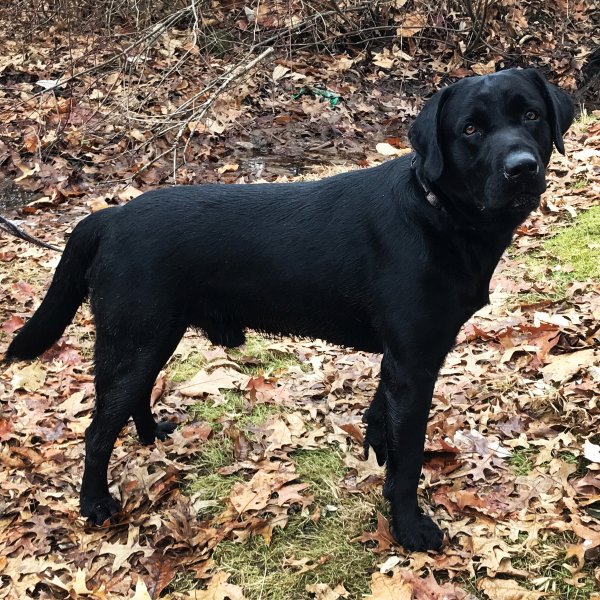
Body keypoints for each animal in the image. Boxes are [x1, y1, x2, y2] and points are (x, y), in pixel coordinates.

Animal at [8, 68, 572, 552]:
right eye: (470, 129)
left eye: (531, 115)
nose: (522, 168)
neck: (435, 213)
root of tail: (109, 216)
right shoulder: (415, 363)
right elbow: (409, 459)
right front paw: (410, 528)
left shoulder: (399, 362)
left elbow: (381, 423)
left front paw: (378, 461)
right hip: (133, 337)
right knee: (98, 430)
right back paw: (95, 502)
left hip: (152, 336)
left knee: (135, 397)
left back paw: (150, 436)